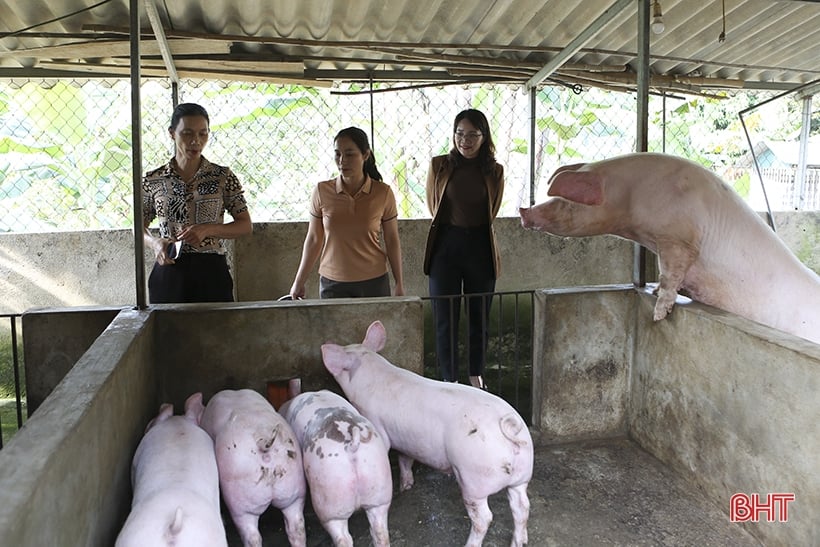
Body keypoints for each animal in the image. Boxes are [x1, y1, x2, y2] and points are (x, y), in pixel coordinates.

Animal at [320, 322, 532, 547]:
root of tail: (507, 425)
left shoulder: (375, 421)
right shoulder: (406, 441)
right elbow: (405, 459)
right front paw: (406, 487)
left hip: (474, 477)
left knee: (484, 517)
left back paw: (470, 543)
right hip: (522, 474)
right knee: (522, 506)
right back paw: (519, 542)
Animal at [520, 152, 820, 344]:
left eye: (562, 200)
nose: (523, 211)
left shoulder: (680, 236)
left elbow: (672, 273)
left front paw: (657, 314)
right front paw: (652, 291)